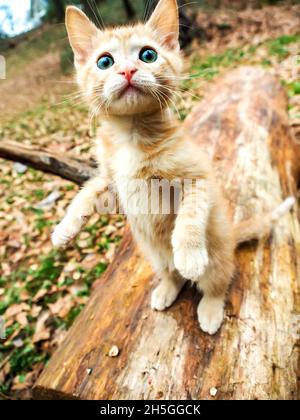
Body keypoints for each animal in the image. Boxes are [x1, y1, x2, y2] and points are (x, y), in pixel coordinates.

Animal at [51, 0, 292, 334]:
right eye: (105, 61)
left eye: (148, 55)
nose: (128, 70)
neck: (132, 137)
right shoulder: (111, 178)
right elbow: (86, 193)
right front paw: (65, 228)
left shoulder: (198, 177)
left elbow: (190, 216)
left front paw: (188, 253)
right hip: (154, 255)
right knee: (171, 274)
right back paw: (166, 289)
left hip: (216, 260)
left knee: (217, 283)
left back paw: (210, 309)